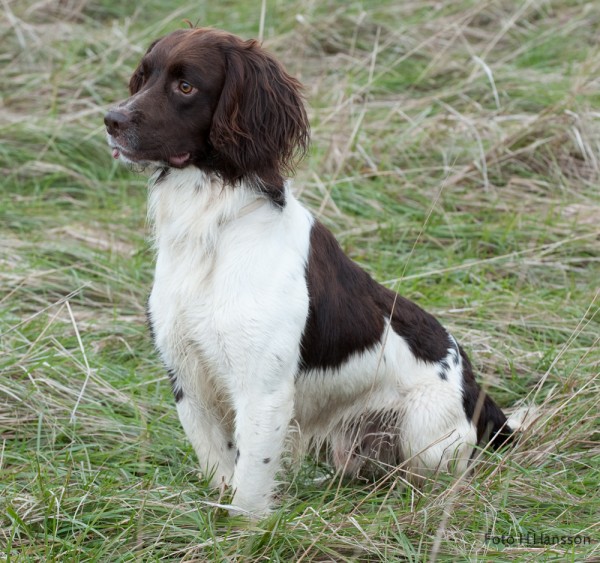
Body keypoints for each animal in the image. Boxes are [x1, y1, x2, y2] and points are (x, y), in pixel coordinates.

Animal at [104, 27, 516, 520]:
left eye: (186, 86)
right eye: (143, 77)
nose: (111, 120)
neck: (214, 227)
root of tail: (475, 386)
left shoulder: (262, 391)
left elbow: (248, 488)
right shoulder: (187, 378)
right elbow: (220, 469)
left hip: (426, 438)